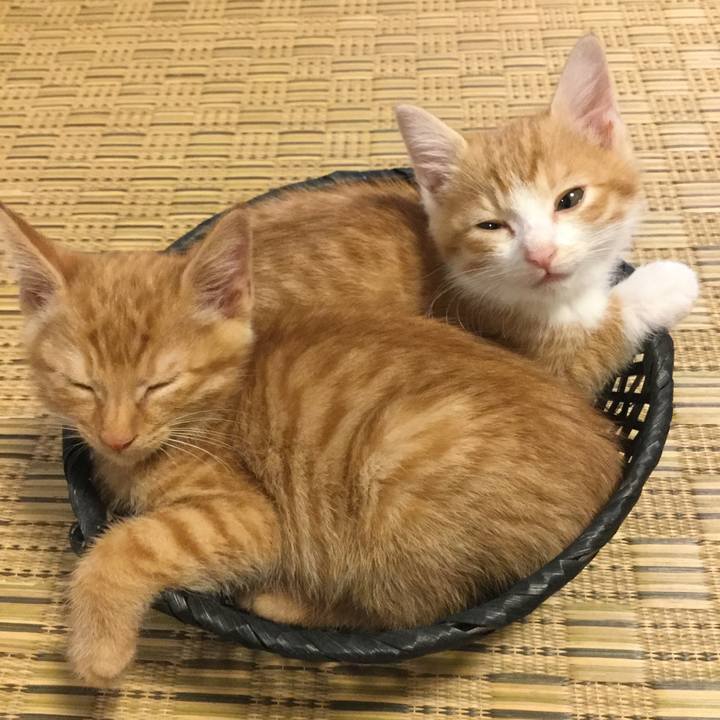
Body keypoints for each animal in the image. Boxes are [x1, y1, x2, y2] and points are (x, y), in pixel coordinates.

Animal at [1, 203, 620, 686]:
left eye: (160, 384)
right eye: (82, 385)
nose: (116, 434)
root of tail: (606, 457)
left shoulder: (245, 517)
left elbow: (128, 544)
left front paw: (97, 652)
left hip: (396, 485)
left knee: (411, 612)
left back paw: (283, 600)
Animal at [234, 34, 697, 395]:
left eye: (569, 199)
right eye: (491, 225)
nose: (541, 254)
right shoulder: (545, 365)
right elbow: (598, 335)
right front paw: (668, 281)